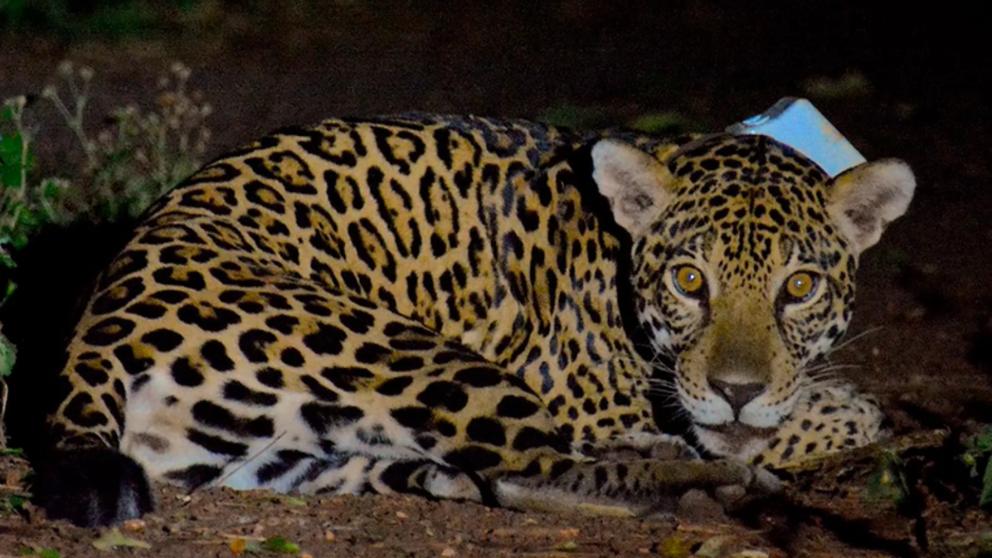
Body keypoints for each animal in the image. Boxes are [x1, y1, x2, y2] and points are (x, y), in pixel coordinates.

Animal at [33, 113, 914, 526]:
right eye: (689, 280)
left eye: (799, 287)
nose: (737, 389)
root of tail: (91, 330)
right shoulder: (581, 393)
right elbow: (825, 417)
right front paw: (812, 416)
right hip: (418, 355)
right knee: (537, 469)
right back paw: (719, 483)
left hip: (281, 455)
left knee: (468, 475)